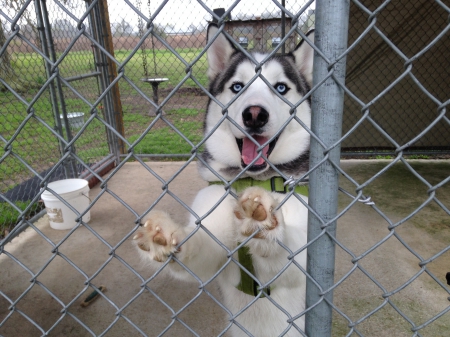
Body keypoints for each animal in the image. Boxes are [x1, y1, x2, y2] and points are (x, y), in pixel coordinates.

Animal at [135, 24, 314, 336]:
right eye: (237, 86)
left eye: (280, 87)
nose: (254, 114)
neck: (250, 180)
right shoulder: (214, 247)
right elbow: (200, 249)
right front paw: (163, 234)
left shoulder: (301, 259)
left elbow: (286, 253)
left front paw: (262, 221)